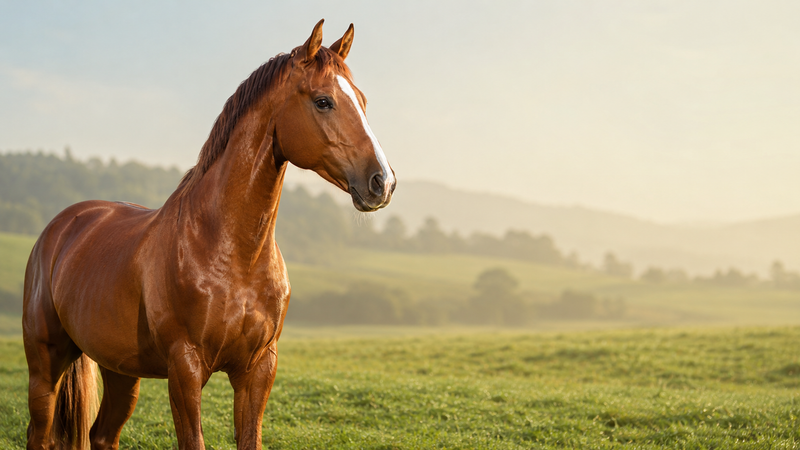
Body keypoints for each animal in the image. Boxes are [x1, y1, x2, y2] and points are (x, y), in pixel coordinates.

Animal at [22, 19, 395, 450]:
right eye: (323, 101)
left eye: (362, 101)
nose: (383, 182)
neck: (230, 251)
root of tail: (61, 226)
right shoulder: (185, 369)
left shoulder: (257, 369)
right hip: (45, 364)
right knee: (39, 433)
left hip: (120, 371)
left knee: (101, 436)